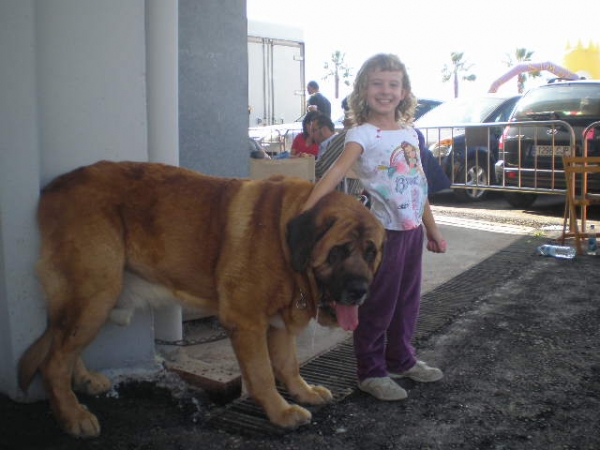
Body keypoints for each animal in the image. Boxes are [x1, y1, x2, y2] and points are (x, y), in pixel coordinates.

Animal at [19, 160, 384, 438]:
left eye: (371, 252)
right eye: (338, 252)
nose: (360, 291)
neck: (286, 241)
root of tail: (55, 186)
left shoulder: (278, 323)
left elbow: (288, 364)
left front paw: (303, 393)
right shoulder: (246, 323)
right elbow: (263, 374)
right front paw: (280, 412)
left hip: (93, 300)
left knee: (63, 347)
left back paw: (83, 380)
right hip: (96, 294)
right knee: (54, 362)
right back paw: (72, 415)